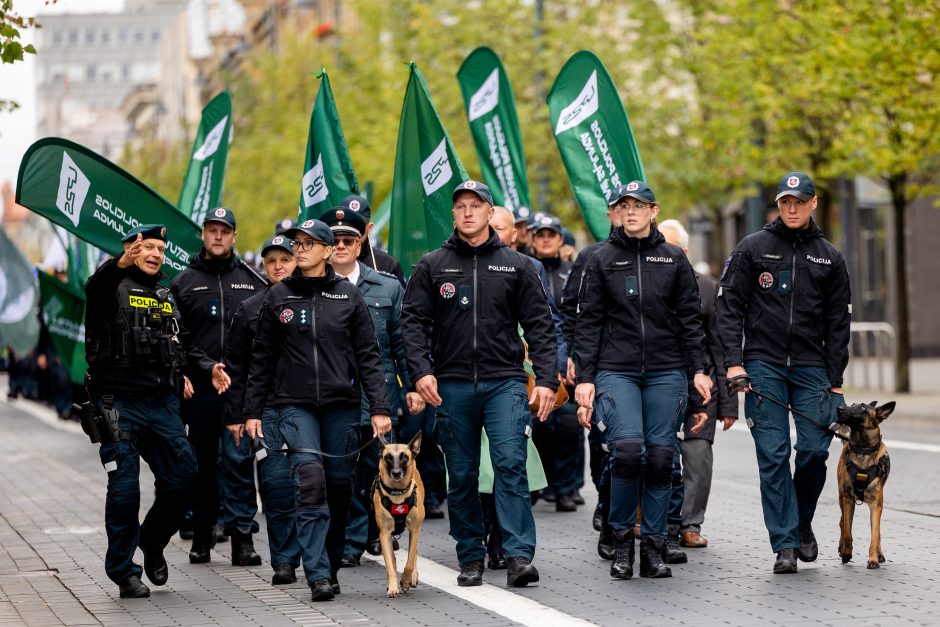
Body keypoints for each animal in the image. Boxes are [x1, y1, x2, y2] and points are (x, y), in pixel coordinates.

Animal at [372, 432, 424, 600]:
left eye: (404, 457)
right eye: (388, 457)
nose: (395, 473)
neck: (397, 494)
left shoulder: (415, 529)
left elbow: (409, 561)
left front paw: (406, 580)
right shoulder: (384, 534)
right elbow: (390, 564)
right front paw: (393, 587)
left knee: (414, 555)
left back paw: (413, 577)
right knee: (393, 560)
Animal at [836, 402, 896, 568]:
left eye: (863, 408)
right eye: (851, 404)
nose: (839, 408)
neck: (863, 451)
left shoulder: (876, 505)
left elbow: (875, 535)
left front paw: (873, 559)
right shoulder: (848, 500)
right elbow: (848, 532)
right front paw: (846, 553)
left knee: (877, 531)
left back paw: (879, 554)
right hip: (841, 498)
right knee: (842, 522)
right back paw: (841, 548)